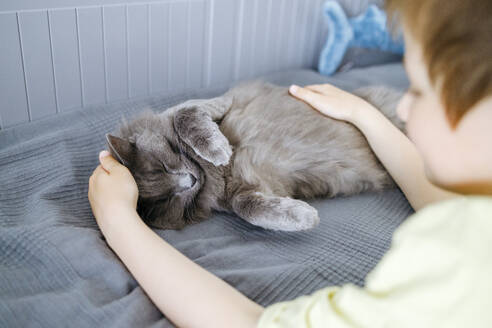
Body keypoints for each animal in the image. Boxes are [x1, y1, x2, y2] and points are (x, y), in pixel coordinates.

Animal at [107, 81, 404, 231]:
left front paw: (218, 149)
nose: (189, 181)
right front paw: (303, 216)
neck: (211, 176)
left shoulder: (215, 102)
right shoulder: (242, 192)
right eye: (166, 199)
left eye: (162, 167)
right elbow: (248, 208)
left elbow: (185, 115)